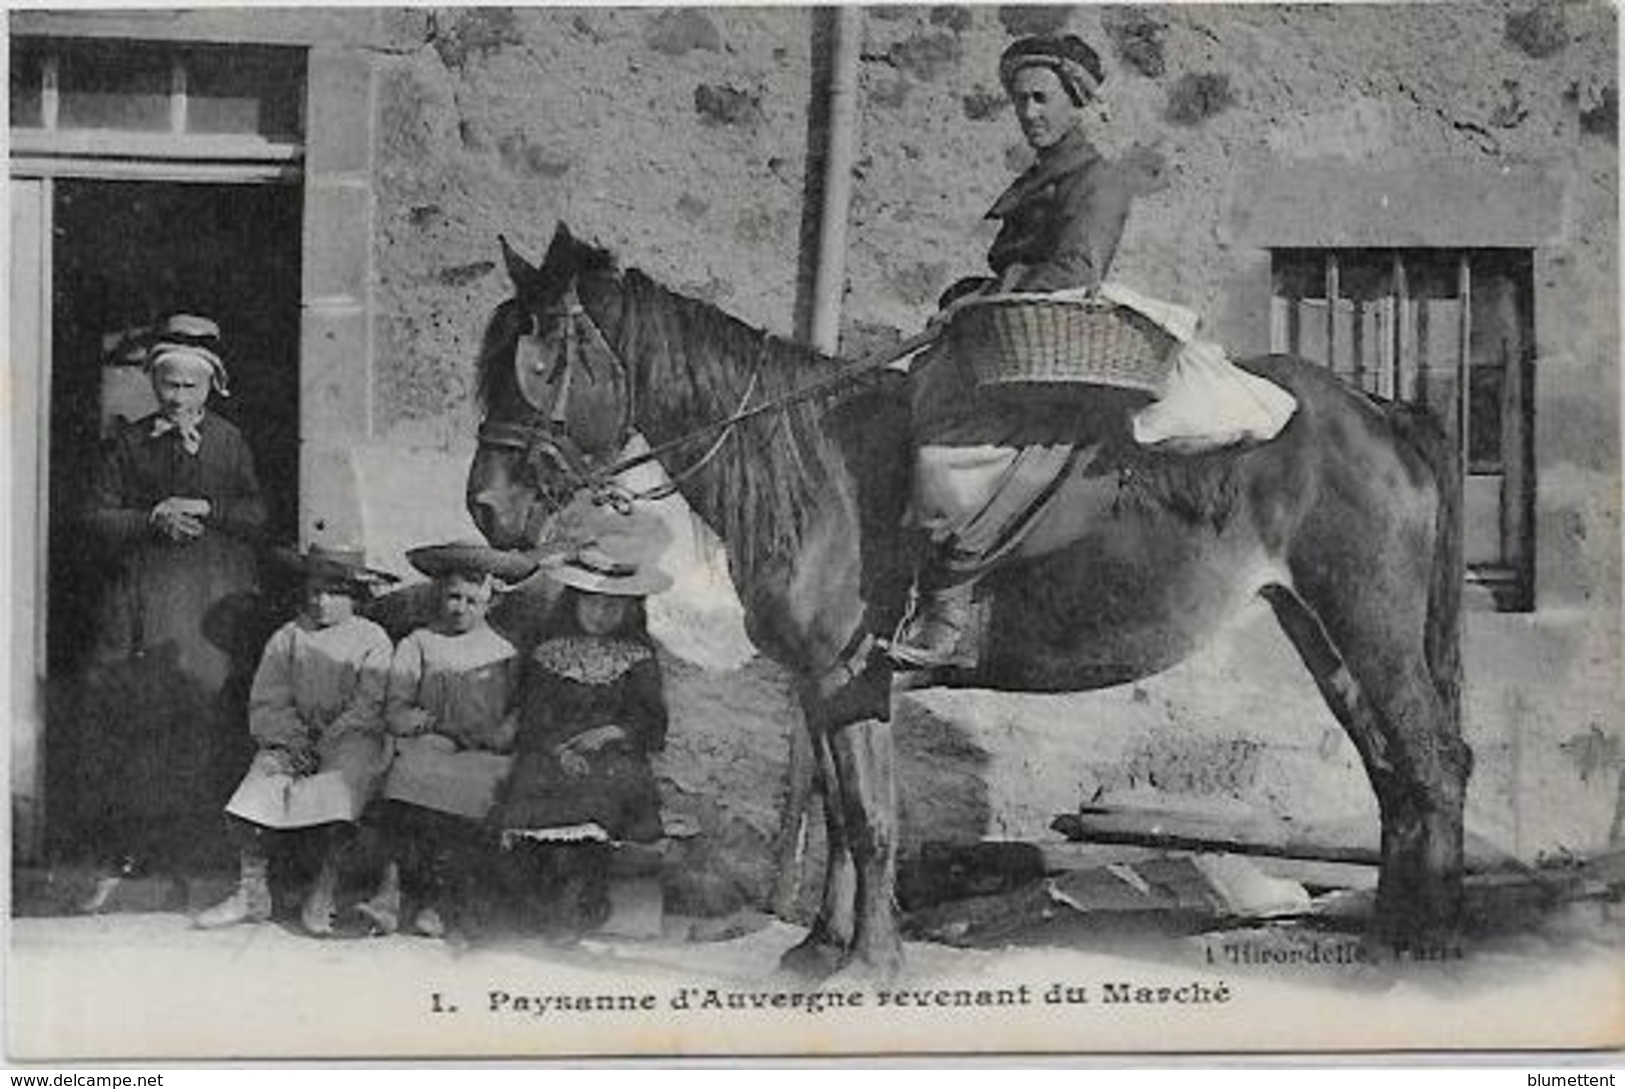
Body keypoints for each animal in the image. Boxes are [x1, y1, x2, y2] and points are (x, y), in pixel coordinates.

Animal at [464, 224, 1469, 981]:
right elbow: (840, 816)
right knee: (1394, 775)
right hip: (1321, 631)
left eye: (542, 361)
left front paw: (870, 963)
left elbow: (872, 821)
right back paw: (1387, 935)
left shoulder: (849, 681)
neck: (819, 465)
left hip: (1369, 627)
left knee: (1433, 765)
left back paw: (1425, 946)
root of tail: (1377, 408)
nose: (487, 507)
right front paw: (820, 948)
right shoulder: (826, 690)